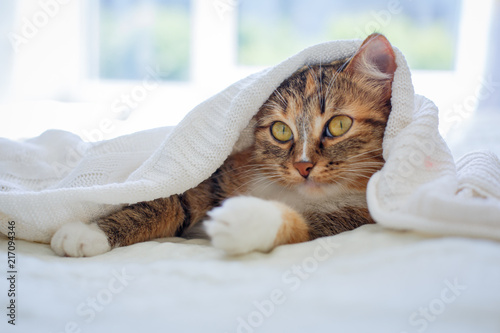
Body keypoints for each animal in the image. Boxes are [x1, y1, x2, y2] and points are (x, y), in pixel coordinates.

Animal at [51, 33, 398, 256]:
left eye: (339, 125)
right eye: (281, 131)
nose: (303, 166)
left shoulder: (357, 217)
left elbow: (308, 223)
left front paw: (248, 219)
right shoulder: (215, 178)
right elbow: (166, 202)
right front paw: (88, 232)